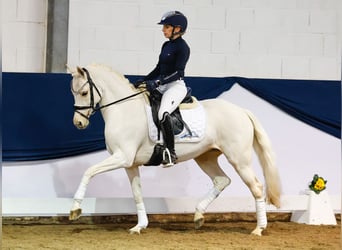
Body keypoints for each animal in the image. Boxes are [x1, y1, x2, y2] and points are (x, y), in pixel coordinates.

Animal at [67, 64, 280, 236]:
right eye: (73, 92)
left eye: (84, 93)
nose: (78, 123)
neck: (124, 109)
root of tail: (242, 111)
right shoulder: (130, 164)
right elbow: (137, 193)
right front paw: (139, 226)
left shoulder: (122, 157)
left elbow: (88, 172)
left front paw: (75, 209)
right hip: (205, 157)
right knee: (222, 180)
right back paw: (198, 215)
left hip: (239, 159)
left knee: (256, 187)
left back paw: (258, 229)